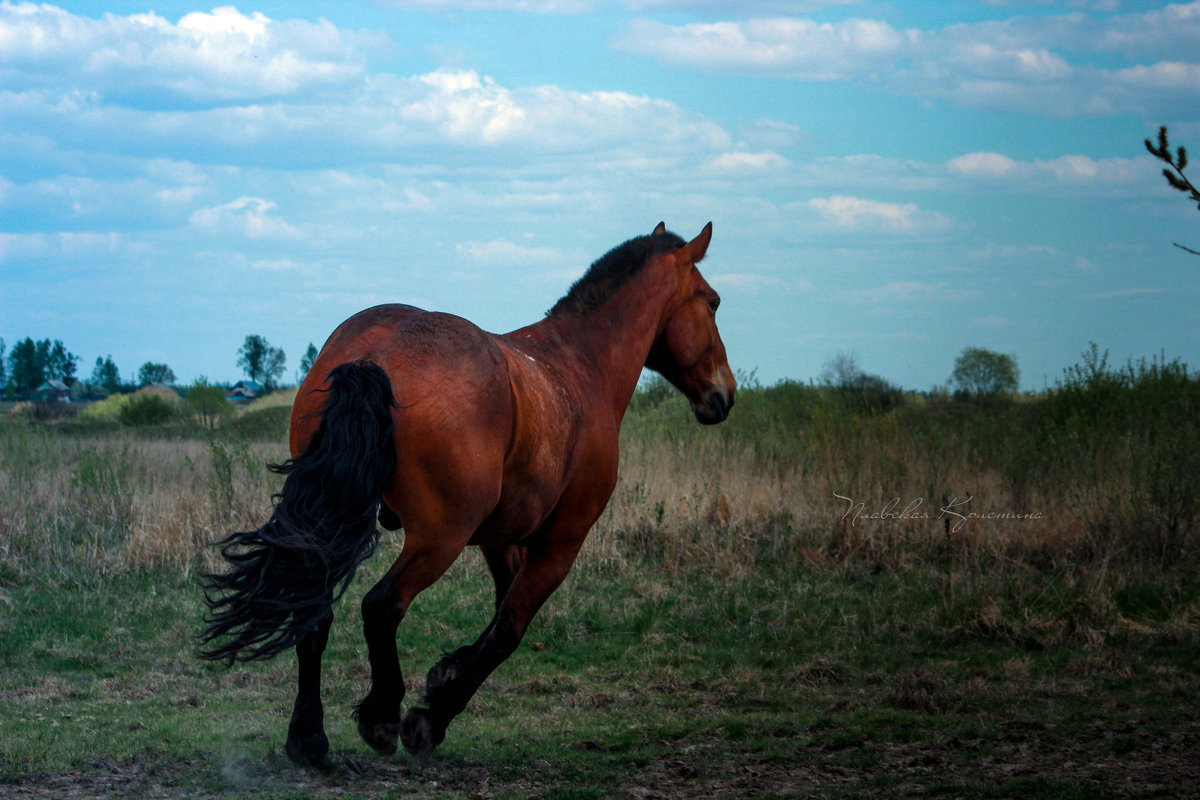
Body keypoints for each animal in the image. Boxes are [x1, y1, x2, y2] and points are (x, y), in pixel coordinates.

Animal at [201, 220, 734, 767]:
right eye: (712, 302)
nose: (724, 395)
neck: (582, 366)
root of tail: (373, 356)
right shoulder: (560, 543)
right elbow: (509, 629)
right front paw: (431, 717)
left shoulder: (501, 538)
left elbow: (500, 610)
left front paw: (446, 672)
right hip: (439, 539)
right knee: (382, 607)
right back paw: (381, 717)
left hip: (330, 522)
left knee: (314, 612)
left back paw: (308, 739)